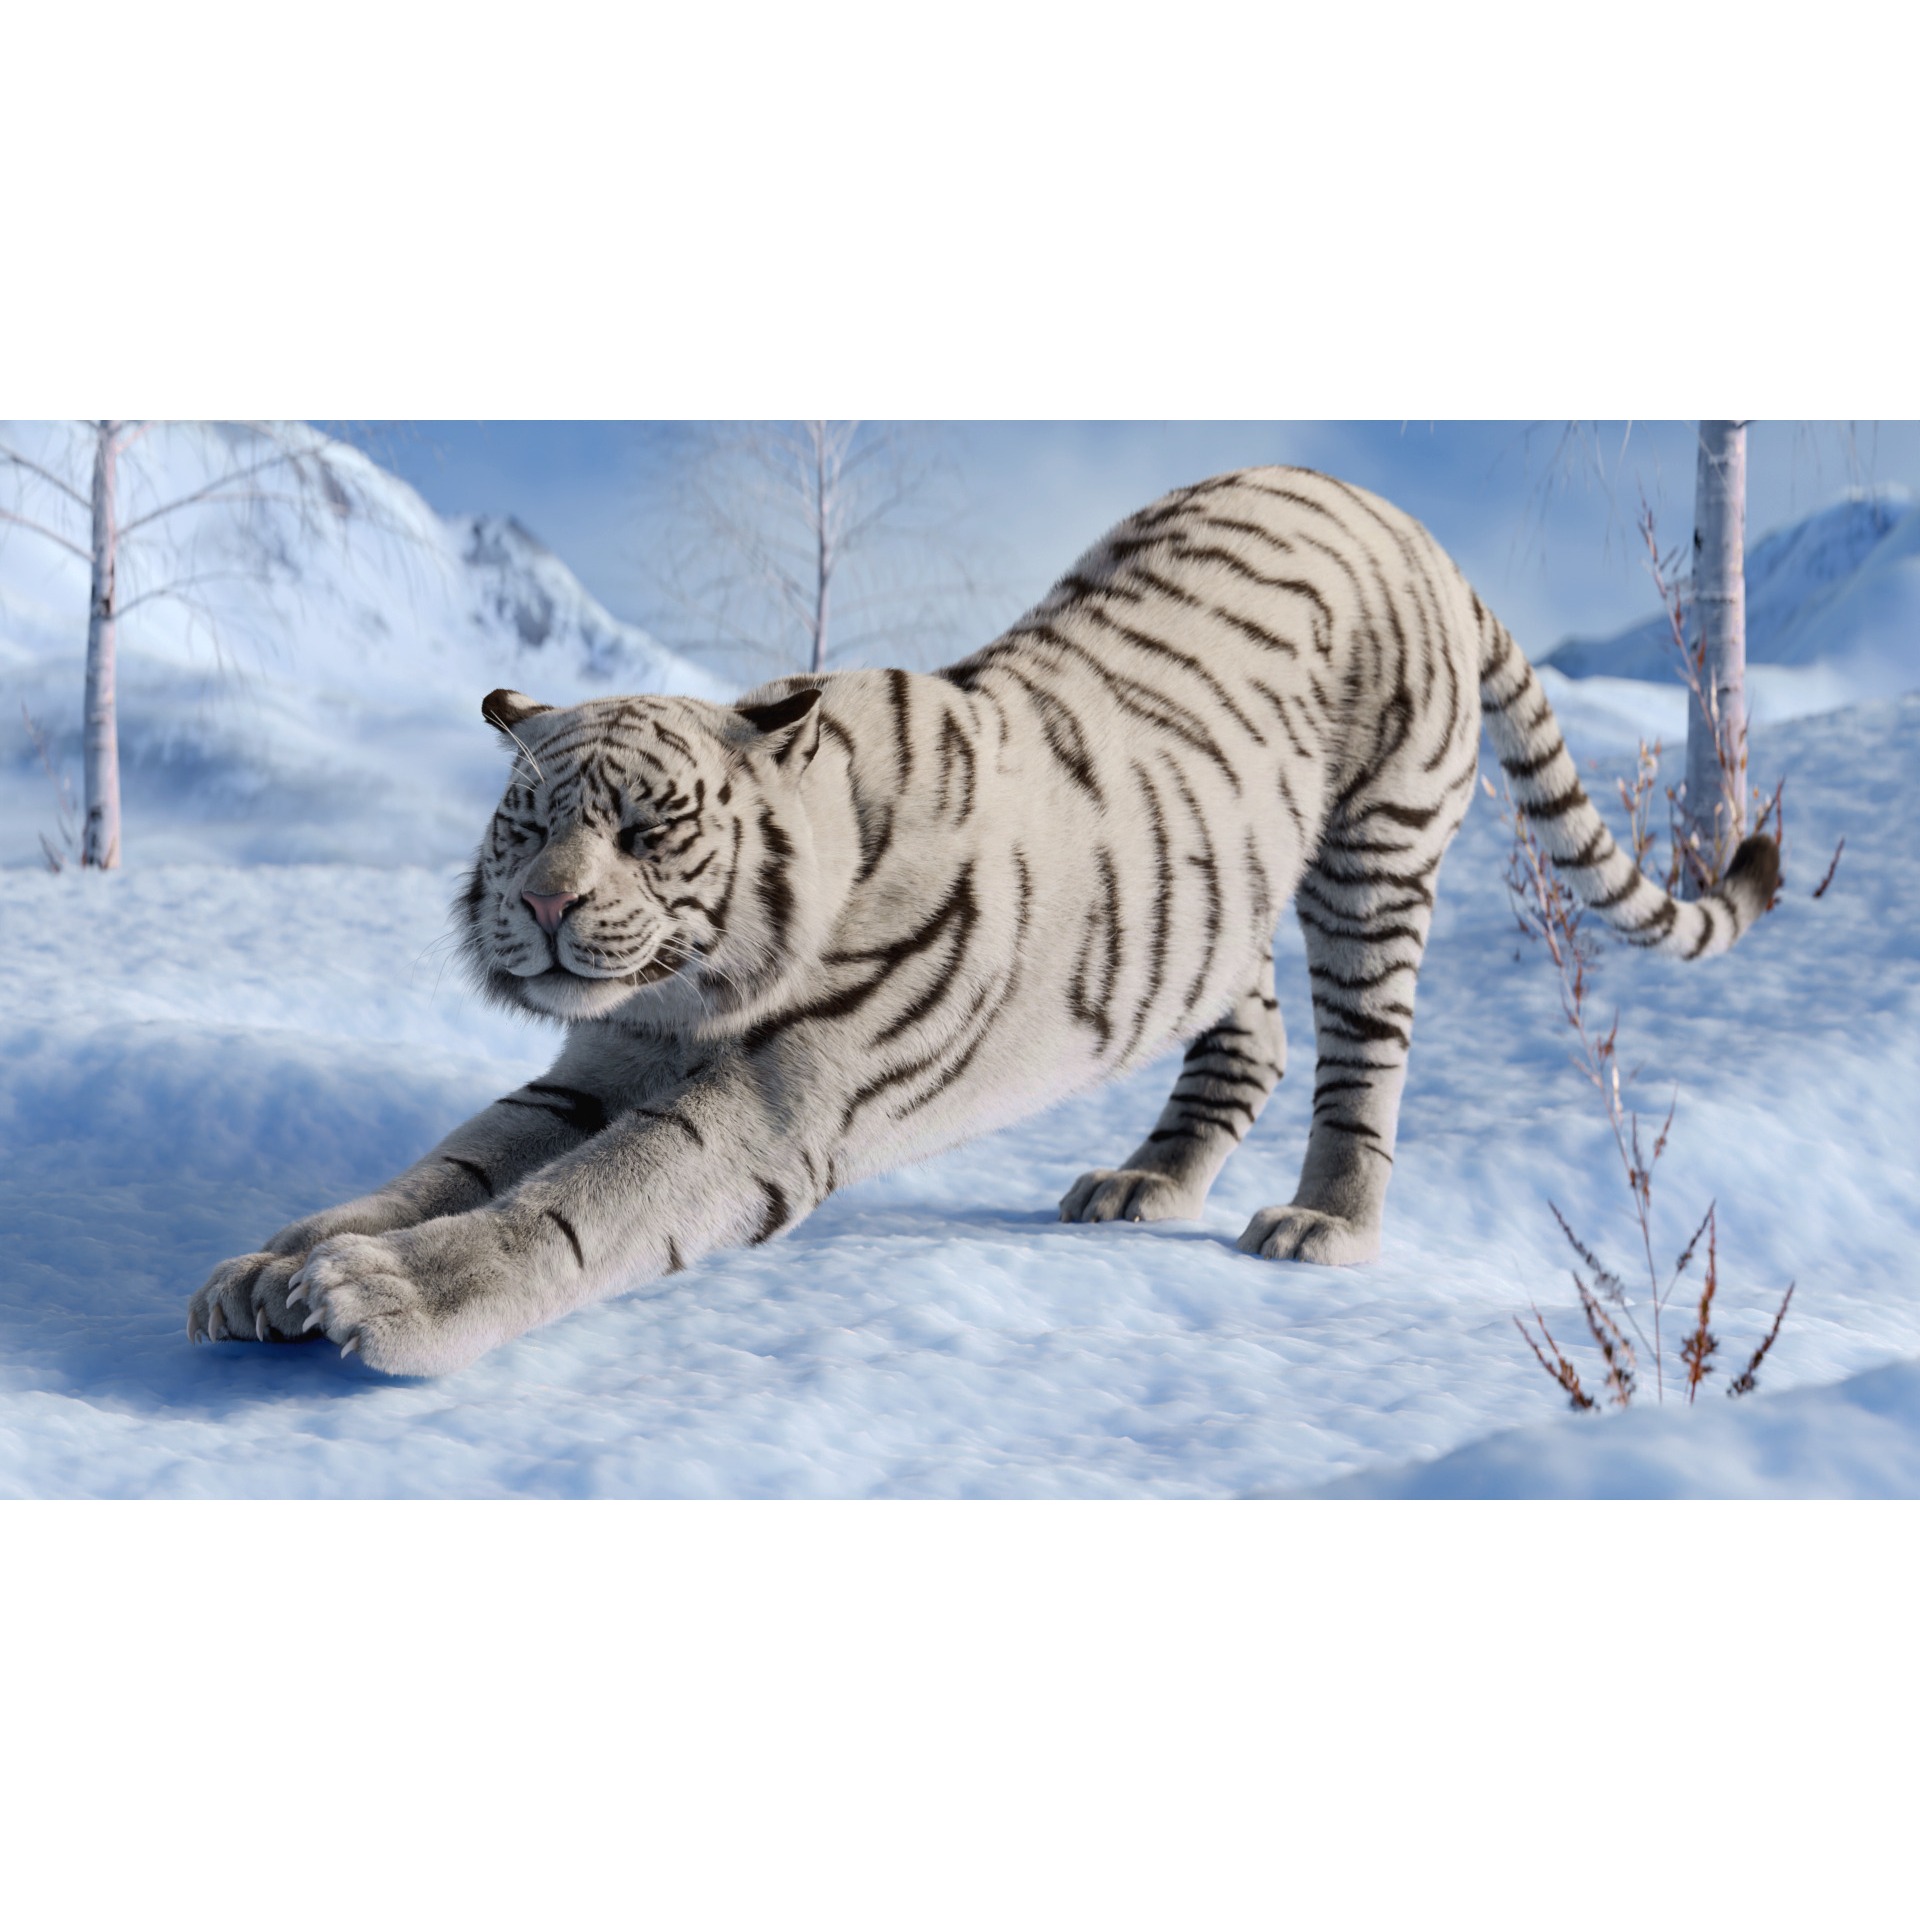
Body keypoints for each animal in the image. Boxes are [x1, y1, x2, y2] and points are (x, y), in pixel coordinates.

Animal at [187, 466, 1780, 1376]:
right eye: (525, 825)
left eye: (643, 831)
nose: (537, 906)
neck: (700, 986)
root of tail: (1405, 523)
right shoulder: (597, 1061)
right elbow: (455, 1161)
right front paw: (275, 1265)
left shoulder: (774, 1101)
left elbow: (580, 1207)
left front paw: (388, 1295)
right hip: (1209, 891)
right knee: (1248, 1023)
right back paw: (1144, 1184)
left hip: (1374, 854)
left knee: (1363, 1054)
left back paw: (1322, 1222)